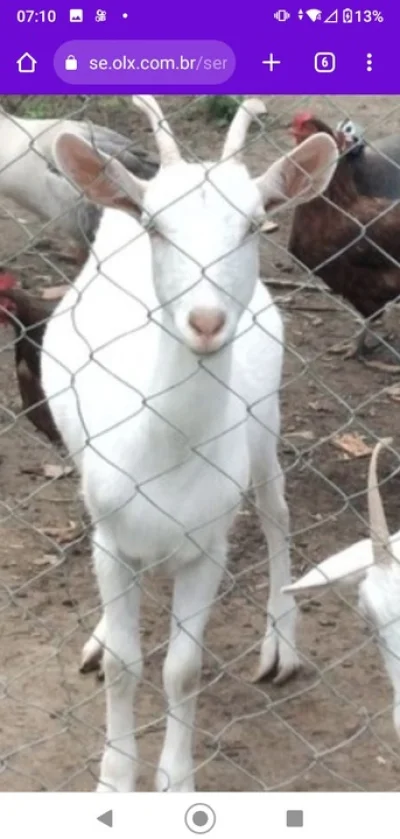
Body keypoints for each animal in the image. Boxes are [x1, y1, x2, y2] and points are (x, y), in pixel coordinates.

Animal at [41, 95, 339, 792]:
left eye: (255, 225)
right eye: (157, 225)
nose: (205, 323)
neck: (167, 453)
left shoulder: (208, 548)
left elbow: (183, 669)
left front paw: (174, 782)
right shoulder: (113, 539)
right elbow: (126, 664)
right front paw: (115, 779)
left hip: (266, 421)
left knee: (277, 512)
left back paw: (282, 643)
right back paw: (101, 632)